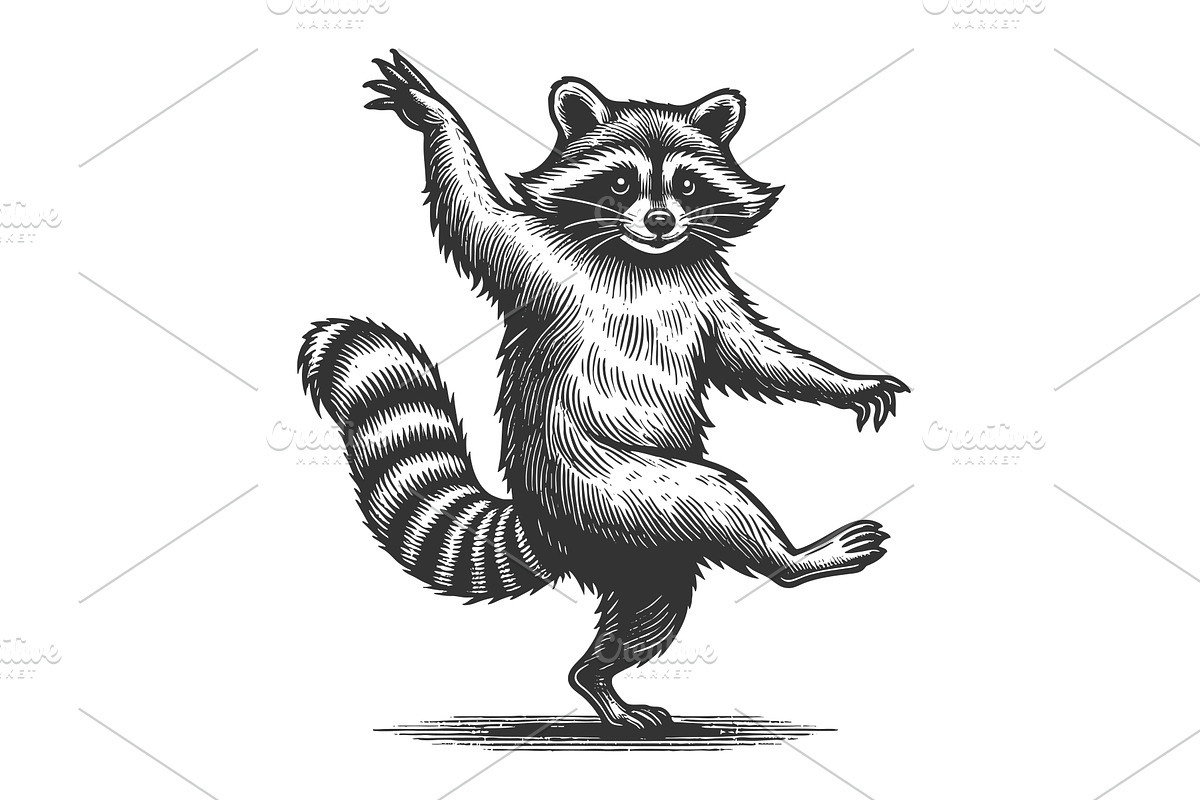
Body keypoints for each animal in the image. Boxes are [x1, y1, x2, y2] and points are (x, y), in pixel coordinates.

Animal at [298, 50, 908, 729]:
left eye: (687, 187)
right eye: (620, 185)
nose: (661, 220)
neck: (642, 255)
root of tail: (545, 529)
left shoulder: (710, 292)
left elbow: (756, 356)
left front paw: (844, 382)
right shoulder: (535, 254)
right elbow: (471, 210)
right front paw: (436, 116)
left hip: (648, 549)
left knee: (651, 610)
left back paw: (599, 676)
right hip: (612, 487)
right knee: (719, 498)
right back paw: (793, 559)